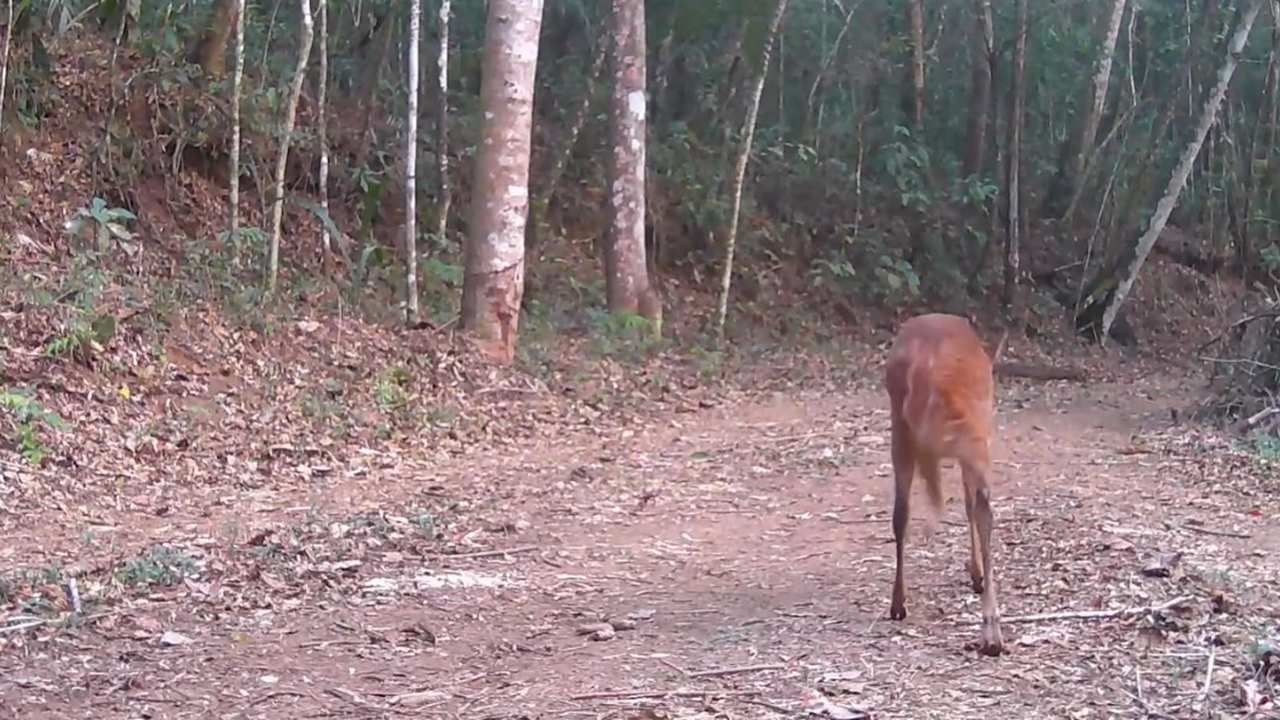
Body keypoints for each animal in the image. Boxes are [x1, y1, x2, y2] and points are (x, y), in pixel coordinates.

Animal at [883, 313, 1005, 657]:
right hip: (973, 436)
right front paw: (975, 574)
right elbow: (969, 504)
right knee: (981, 507)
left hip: (901, 423)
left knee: (903, 511)